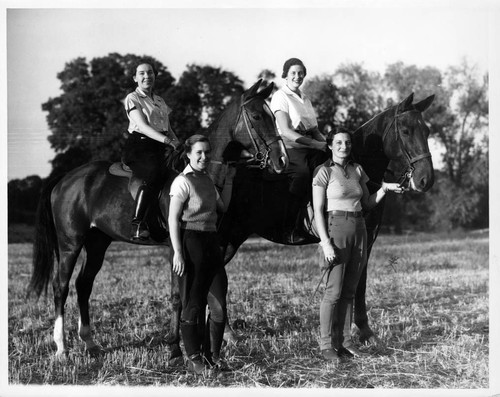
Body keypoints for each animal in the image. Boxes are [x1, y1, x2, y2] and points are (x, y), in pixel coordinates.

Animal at [29, 79, 288, 356]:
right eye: (257, 116)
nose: (281, 159)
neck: (198, 174)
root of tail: (65, 179)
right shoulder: (176, 249)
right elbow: (177, 296)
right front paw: (175, 345)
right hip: (70, 243)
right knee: (61, 286)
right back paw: (61, 347)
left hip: (97, 242)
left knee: (83, 285)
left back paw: (89, 342)